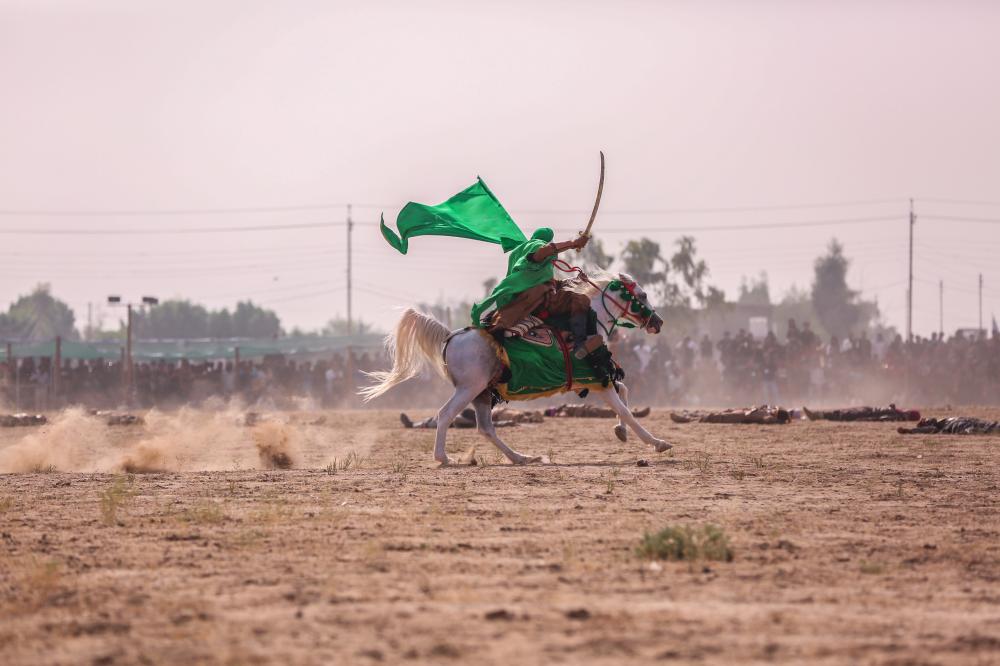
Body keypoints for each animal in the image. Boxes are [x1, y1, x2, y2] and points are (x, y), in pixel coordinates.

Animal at [360, 268, 672, 464]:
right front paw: (656, 442)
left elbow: (625, 393)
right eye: (642, 295)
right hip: (469, 389)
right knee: (445, 414)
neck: (587, 323)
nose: (658, 322)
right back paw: (443, 458)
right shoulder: (597, 380)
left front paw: (621, 432)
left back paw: (520, 457)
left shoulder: (598, 379)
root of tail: (451, 337)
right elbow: (625, 408)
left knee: (486, 428)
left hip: (482, 393)